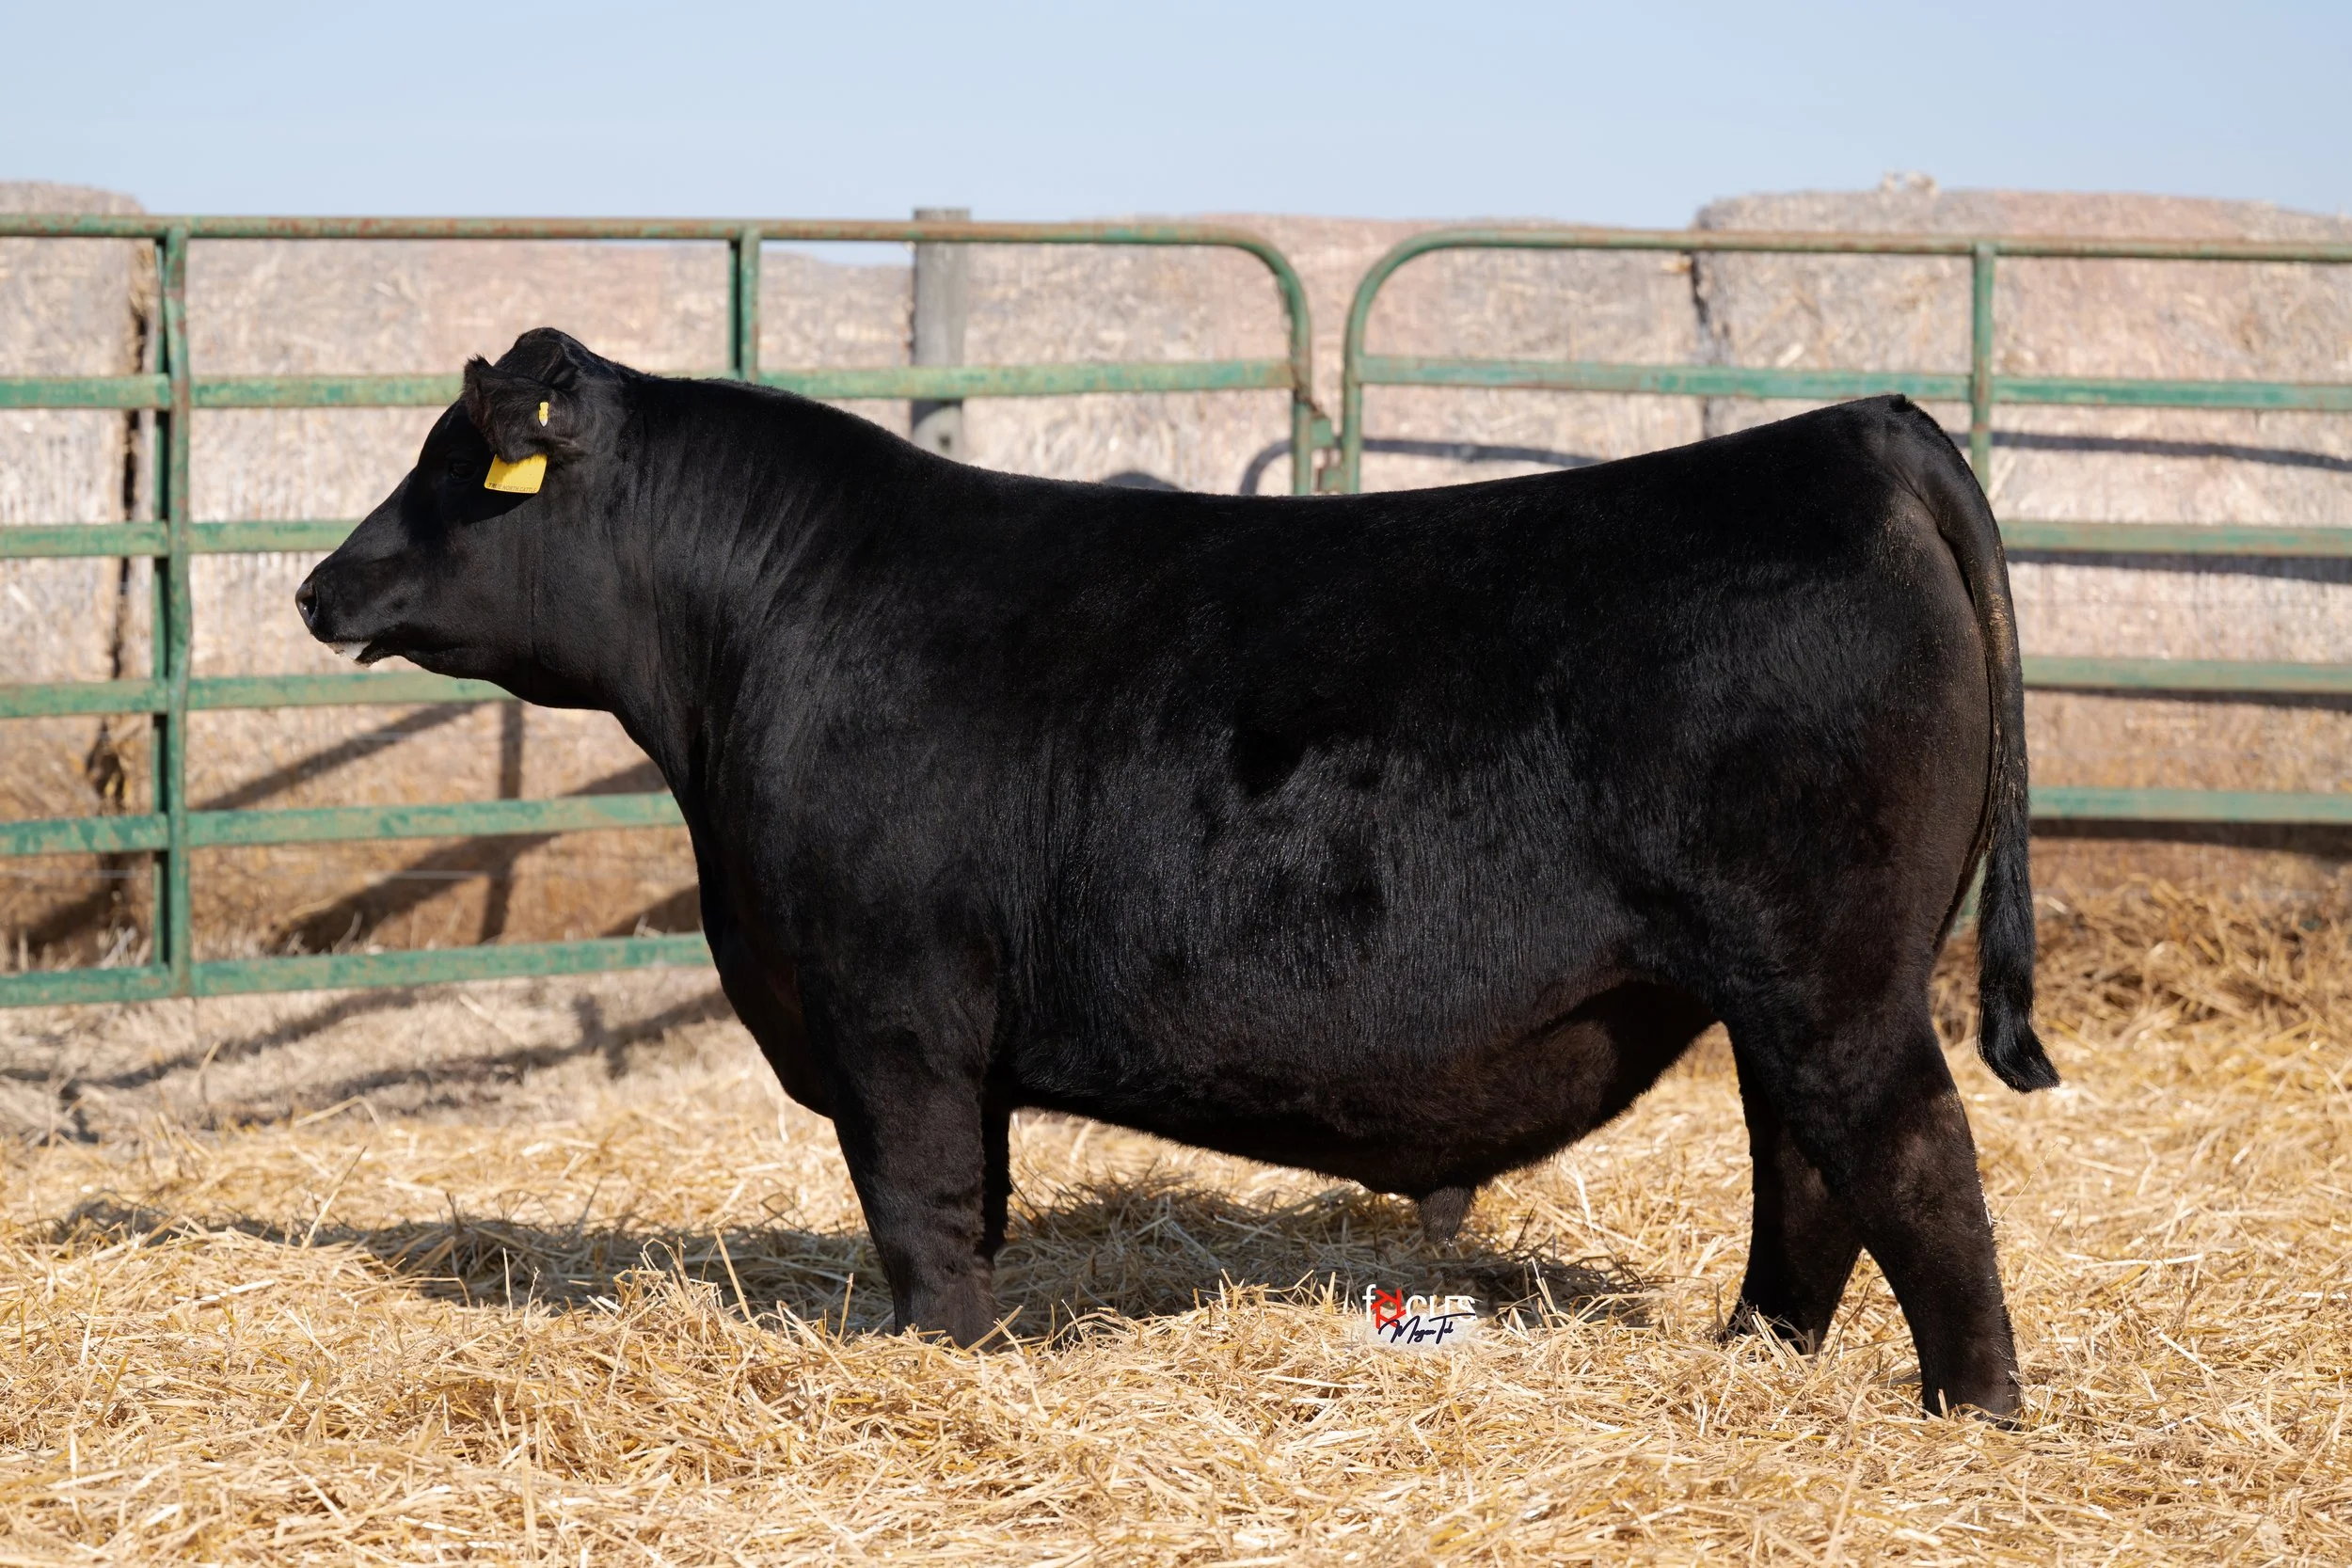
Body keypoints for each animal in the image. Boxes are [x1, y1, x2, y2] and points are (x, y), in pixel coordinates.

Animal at [297, 329, 2057, 1419]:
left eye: (461, 469)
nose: (319, 585)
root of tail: (1859, 432)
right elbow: (976, 1202)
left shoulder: (893, 1016)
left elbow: (923, 1213)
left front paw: (947, 1363)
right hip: (1782, 985)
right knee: (1806, 1170)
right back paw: (1755, 1351)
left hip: (1830, 970)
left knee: (1912, 1157)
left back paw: (1973, 1409)